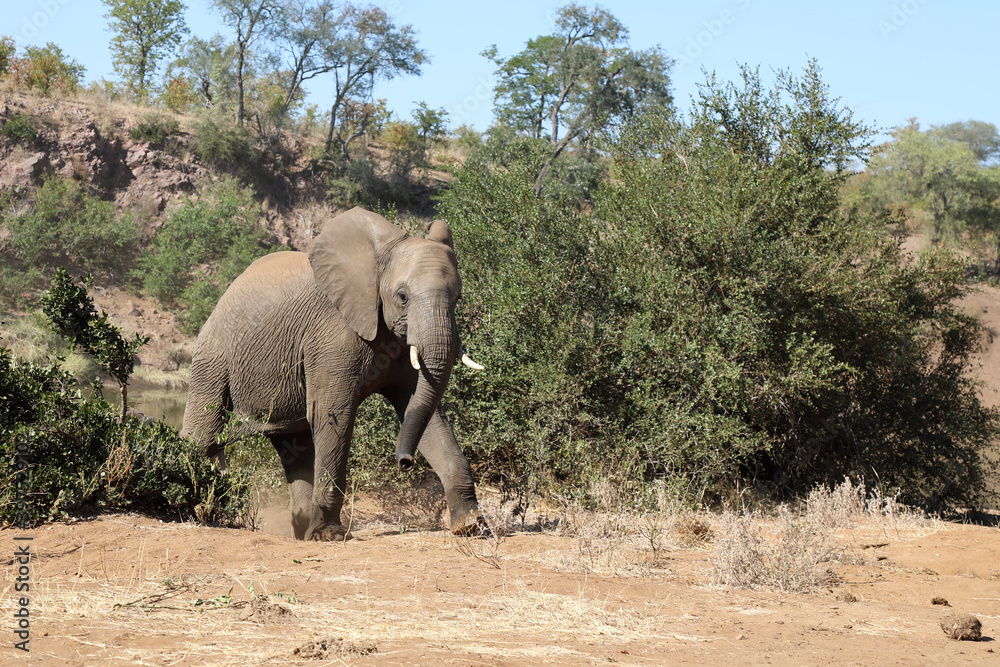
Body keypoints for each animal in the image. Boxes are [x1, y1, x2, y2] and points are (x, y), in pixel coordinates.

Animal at [180, 207, 485, 541]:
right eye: (402, 296)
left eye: (458, 298)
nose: (405, 462)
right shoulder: (330, 335)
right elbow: (333, 414)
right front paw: (330, 536)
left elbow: (422, 412)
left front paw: (470, 525)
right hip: (213, 355)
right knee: (203, 435)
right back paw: (198, 508)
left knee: (294, 446)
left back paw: (300, 529)